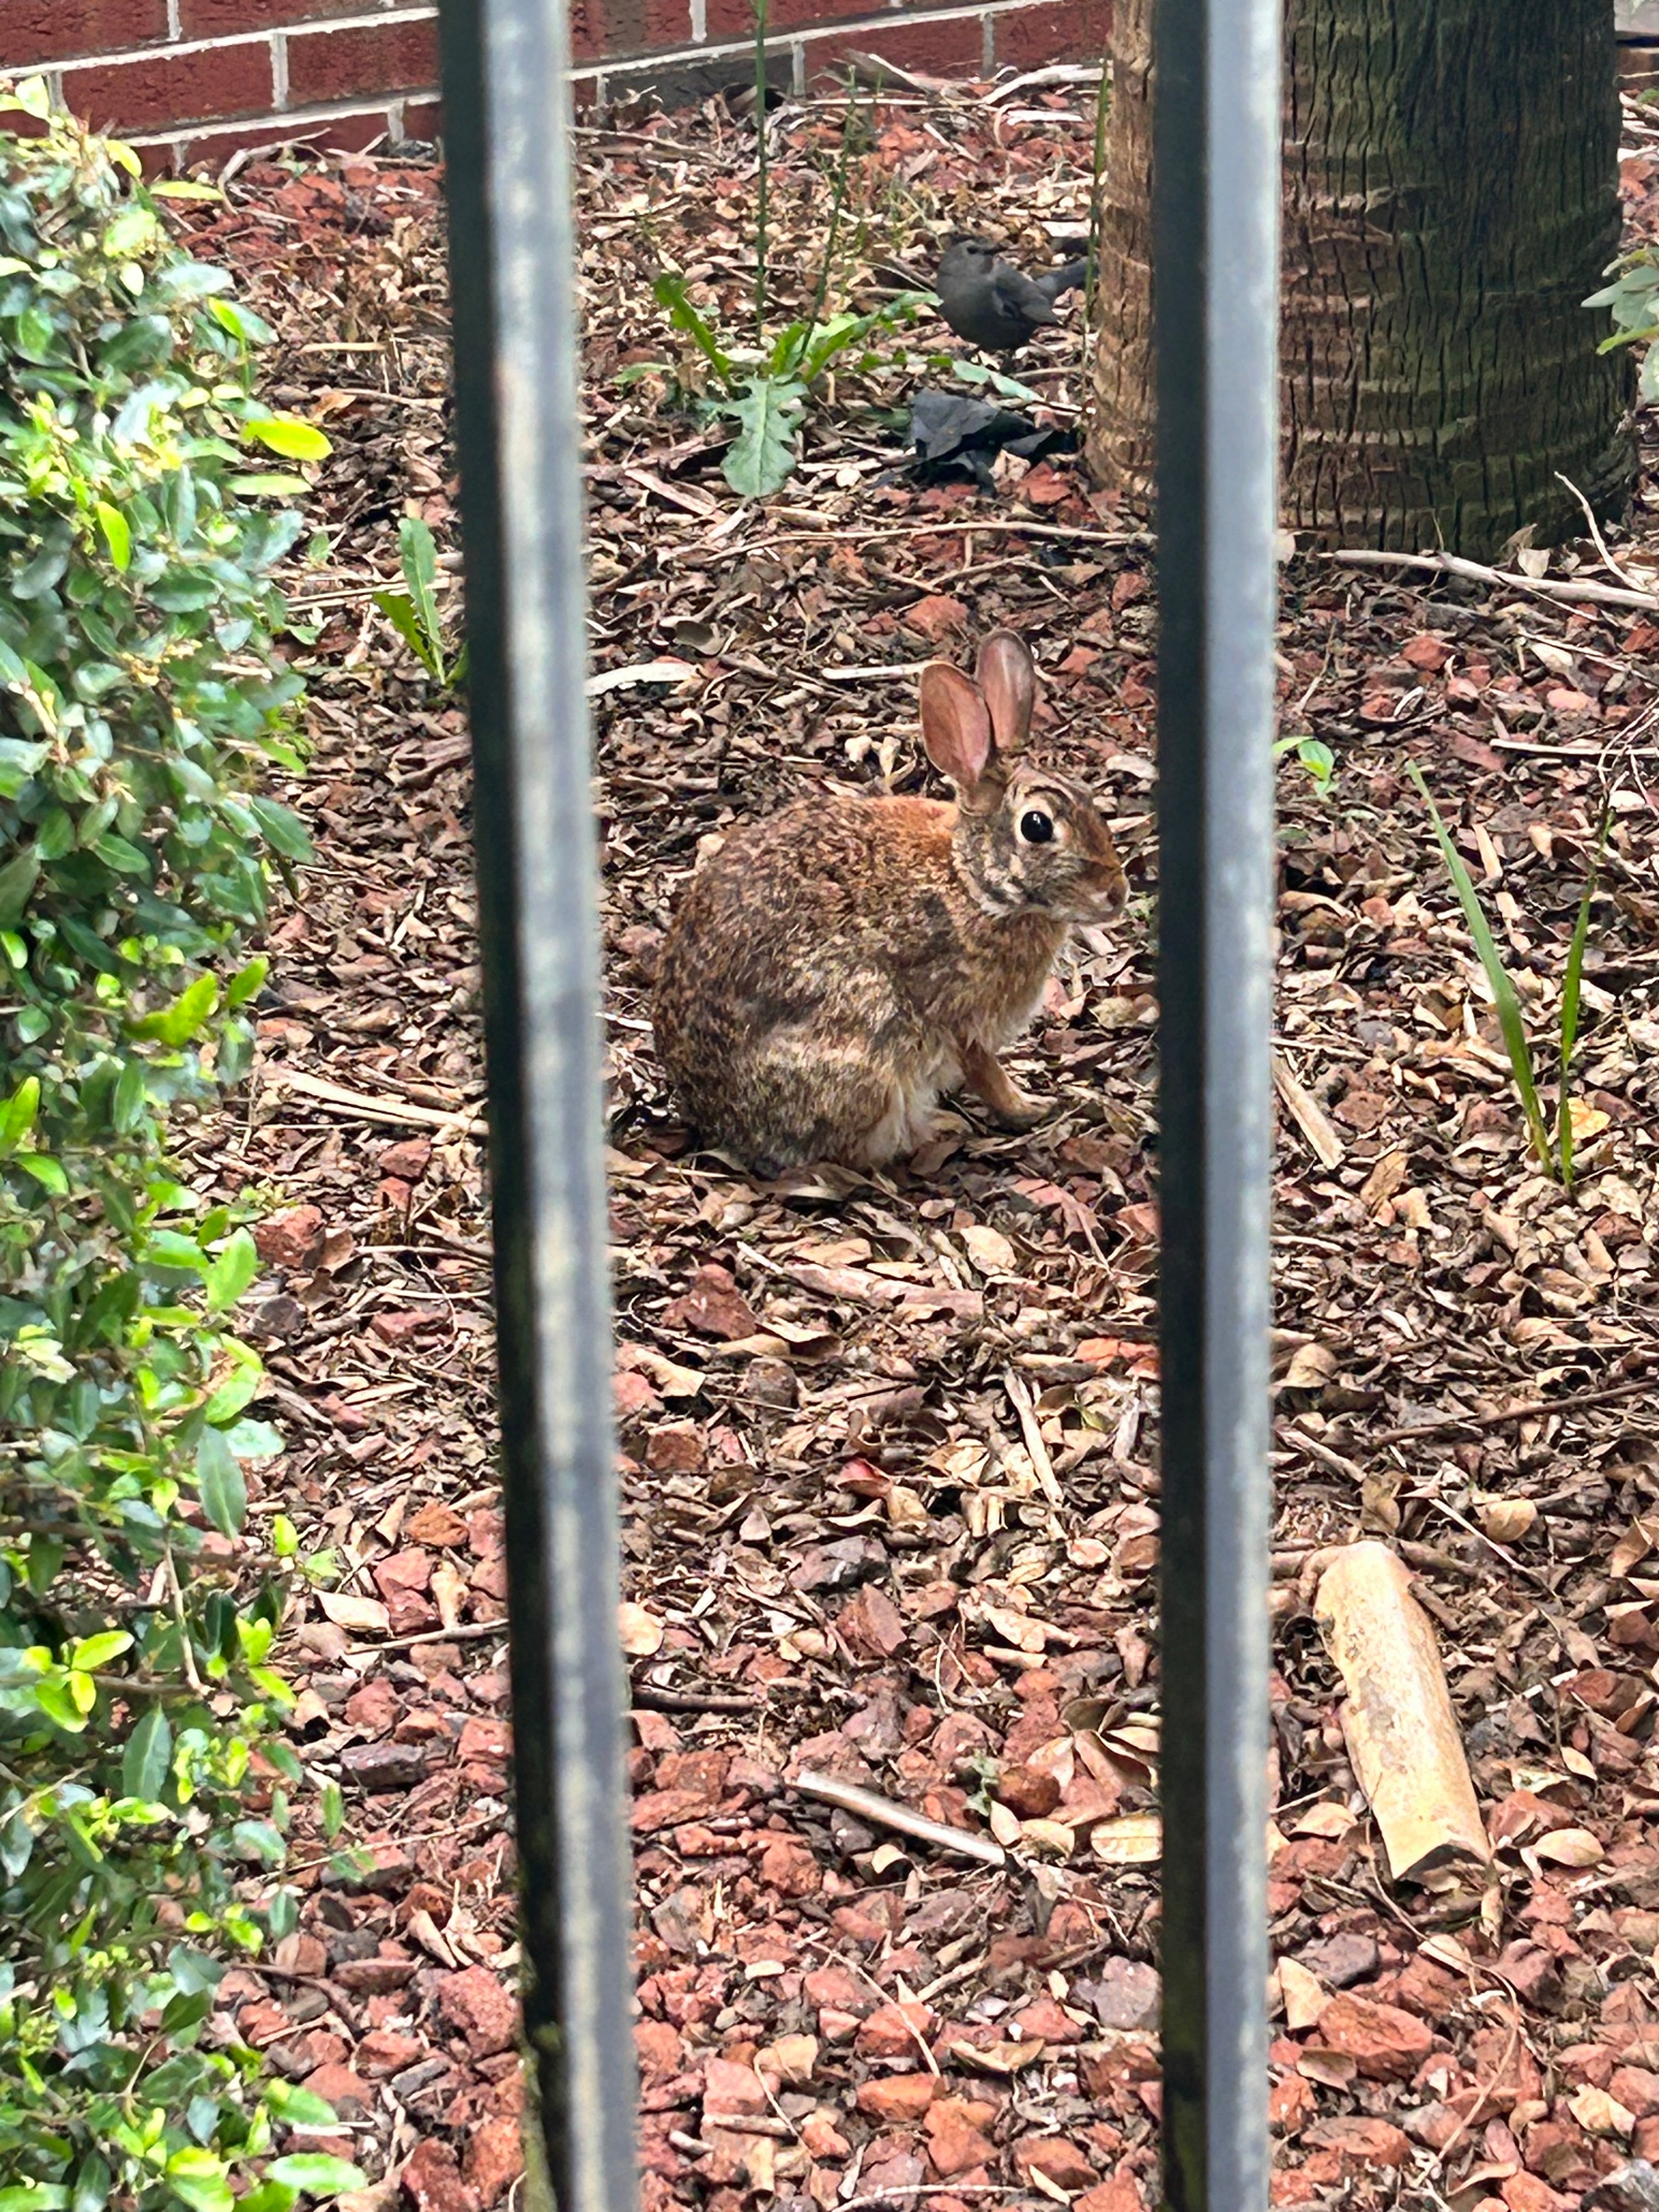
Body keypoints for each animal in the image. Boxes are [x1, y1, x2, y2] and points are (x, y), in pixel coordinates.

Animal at [652, 630, 1127, 1174]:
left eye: (1089, 796)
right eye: (1036, 826)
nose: (1117, 894)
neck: (973, 884)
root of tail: (710, 1116)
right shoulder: (959, 1018)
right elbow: (986, 1072)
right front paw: (1029, 1108)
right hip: (867, 1045)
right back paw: (936, 1130)